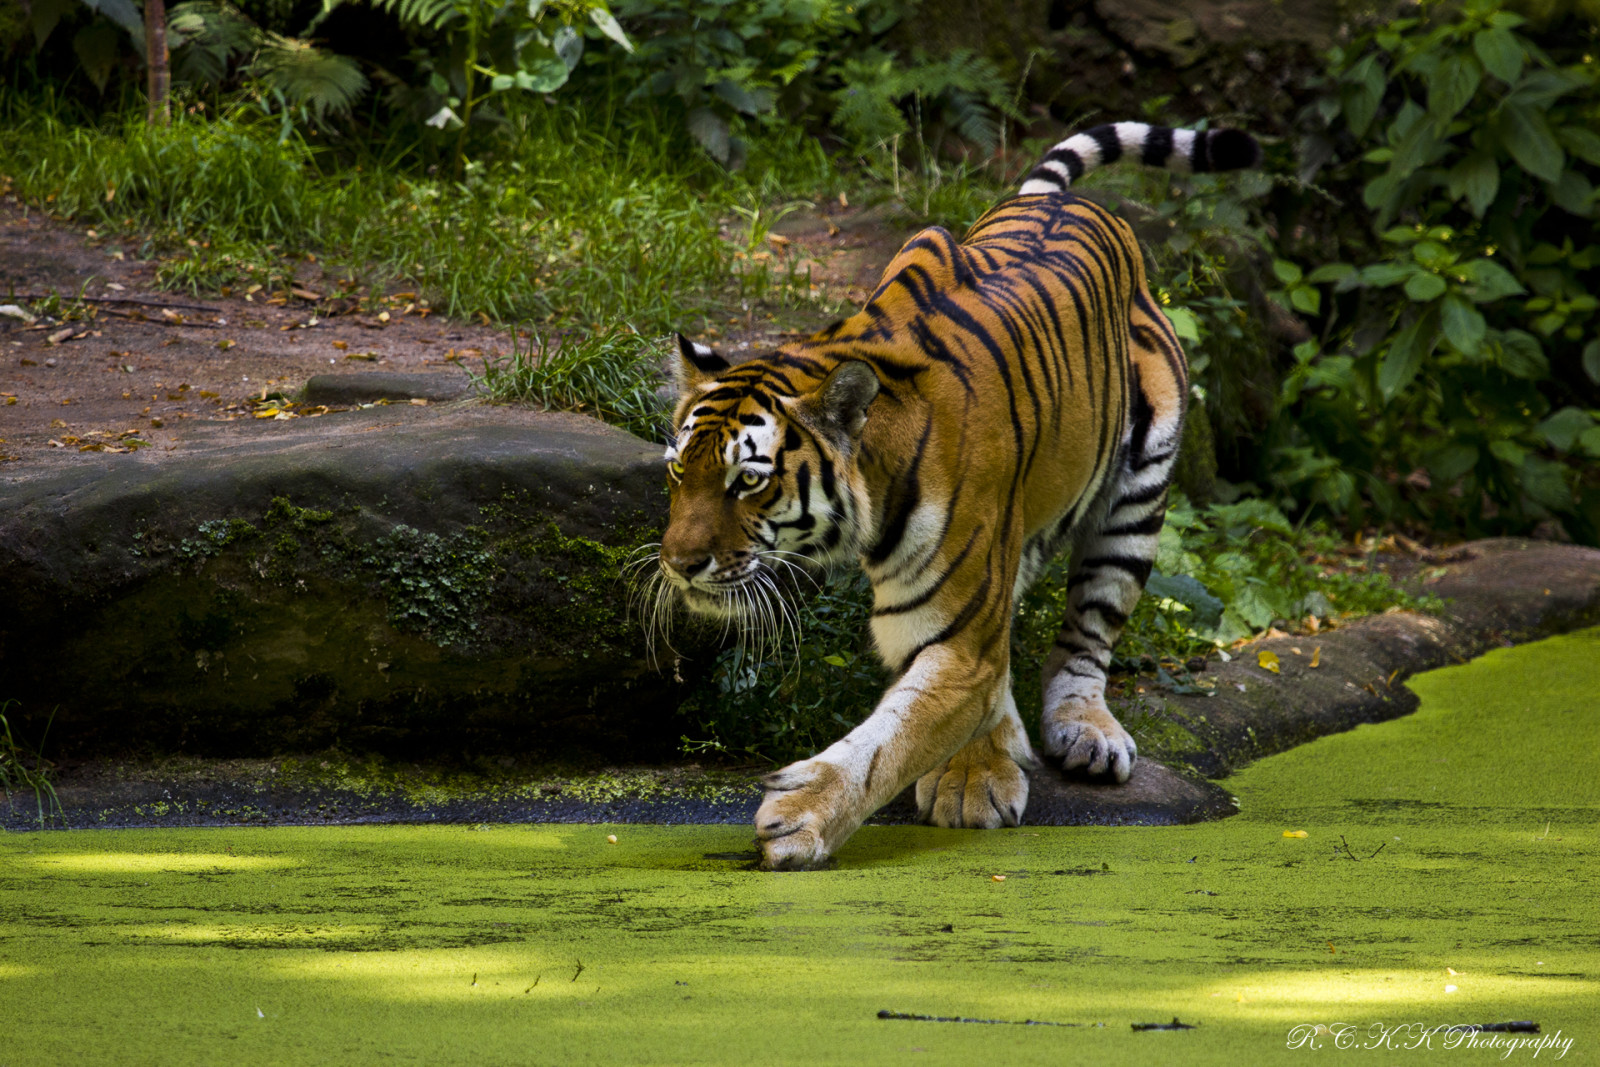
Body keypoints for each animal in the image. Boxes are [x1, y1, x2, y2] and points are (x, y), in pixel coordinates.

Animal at [649, 119, 1260, 870]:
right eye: (680, 472)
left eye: (749, 480)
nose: (679, 564)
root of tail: (1067, 203)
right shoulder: (965, 610)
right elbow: (945, 701)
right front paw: (975, 772)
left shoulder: (958, 631)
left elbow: (891, 740)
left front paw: (802, 815)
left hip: (1138, 496)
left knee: (1088, 627)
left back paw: (1084, 730)